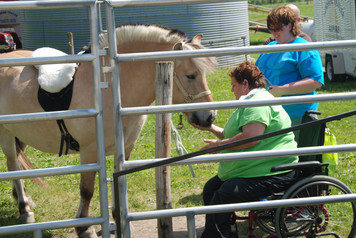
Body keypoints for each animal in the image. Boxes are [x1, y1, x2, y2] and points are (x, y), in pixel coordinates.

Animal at [0, 24, 217, 238]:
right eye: (190, 75)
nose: (210, 117)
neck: (110, 88)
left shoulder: (125, 148)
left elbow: (119, 182)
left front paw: (118, 220)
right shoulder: (90, 152)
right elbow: (87, 190)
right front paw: (85, 228)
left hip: (18, 133)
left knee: (16, 163)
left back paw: (25, 201)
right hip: (6, 133)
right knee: (12, 164)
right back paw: (25, 209)